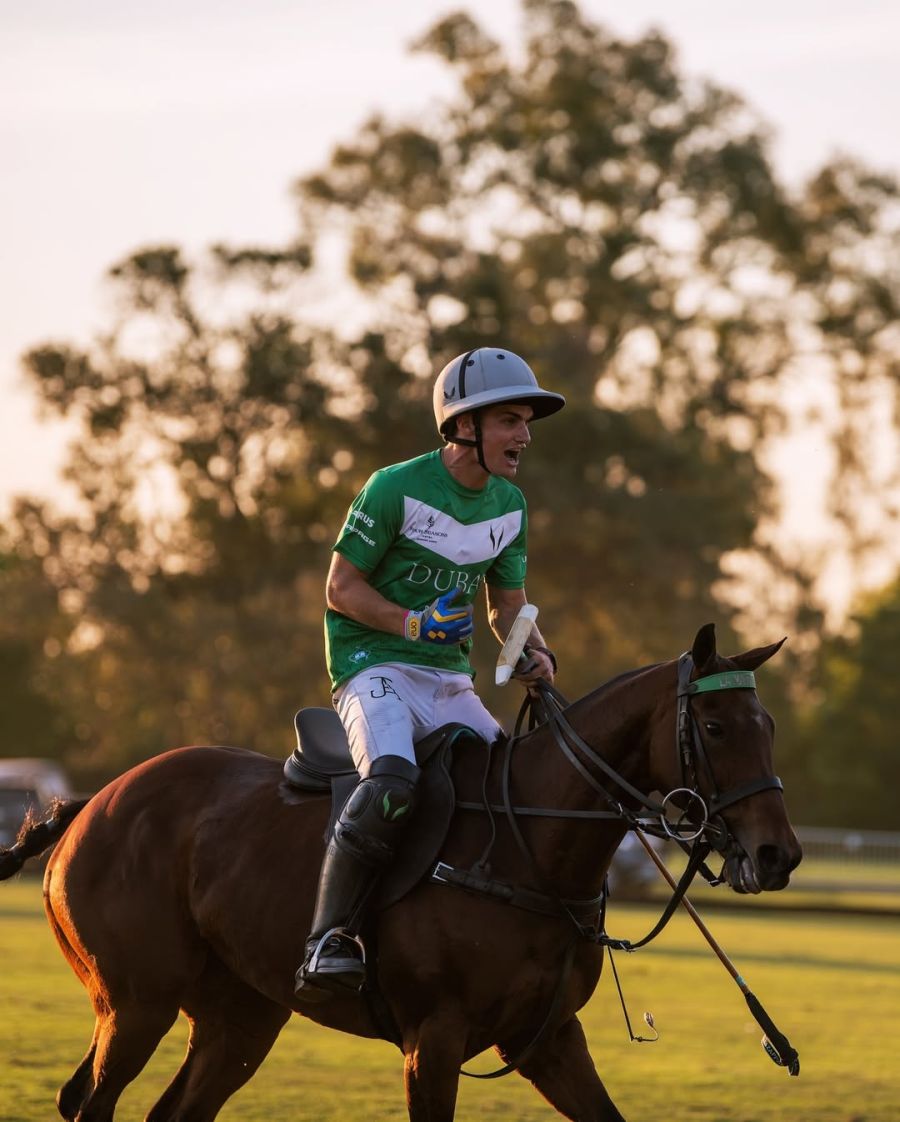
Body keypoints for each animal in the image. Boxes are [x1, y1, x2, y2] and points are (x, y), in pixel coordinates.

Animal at [0, 623, 799, 1122]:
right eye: (716, 727)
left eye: (769, 729)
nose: (779, 855)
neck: (530, 847)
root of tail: (94, 802)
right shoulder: (433, 1039)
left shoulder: (547, 1039)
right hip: (135, 1002)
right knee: (90, 1103)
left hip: (239, 1017)